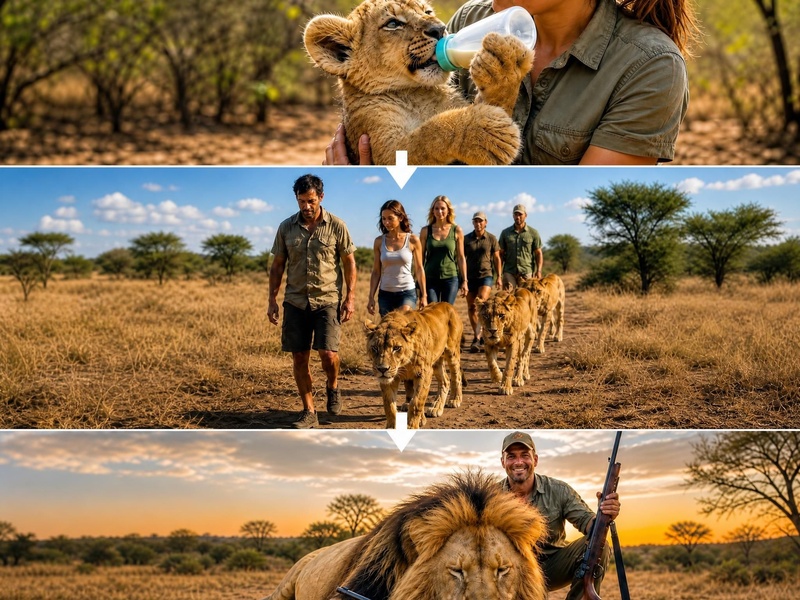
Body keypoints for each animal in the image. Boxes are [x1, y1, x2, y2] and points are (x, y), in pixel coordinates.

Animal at [303, 0, 534, 165]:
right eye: (393, 23)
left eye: (428, 12)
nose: (440, 29)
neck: (416, 93)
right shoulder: (383, 148)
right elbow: (430, 133)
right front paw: (485, 133)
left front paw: (505, 67)